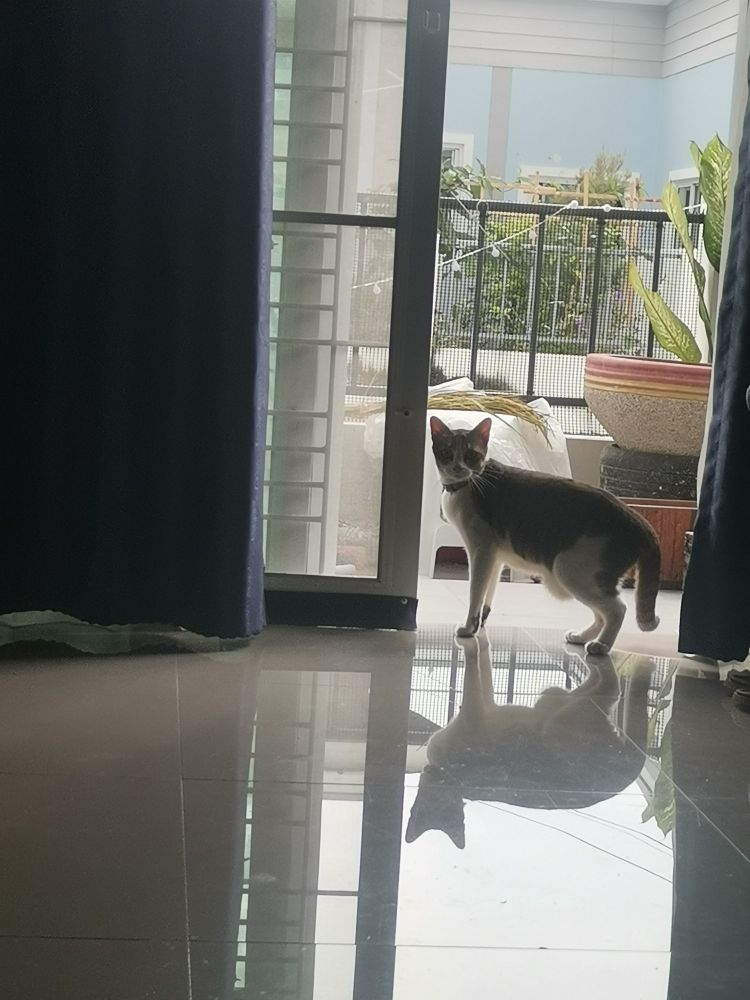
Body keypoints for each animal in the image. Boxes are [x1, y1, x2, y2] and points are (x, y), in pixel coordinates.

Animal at [405, 629, 653, 849]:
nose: (432, 776)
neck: (446, 773)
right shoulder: (486, 704)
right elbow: (484, 665)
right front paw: (480, 633)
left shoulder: (474, 711)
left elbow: (473, 671)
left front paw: (473, 637)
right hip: (553, 702)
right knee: (599, 689)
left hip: (556, 726)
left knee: (612, 686)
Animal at [430, 415, 661, 655]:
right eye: (447, 453)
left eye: (470, 455)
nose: (458, 467)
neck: (466, 485)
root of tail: (639, 520)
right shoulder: (495, 556)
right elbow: (488, 592)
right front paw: (481, 624)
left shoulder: (481, 551)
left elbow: (475, 592)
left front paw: (468, 628)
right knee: (601, 614)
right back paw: (581, 636)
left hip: (571, 570)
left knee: (617, 609)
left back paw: (601, 645)